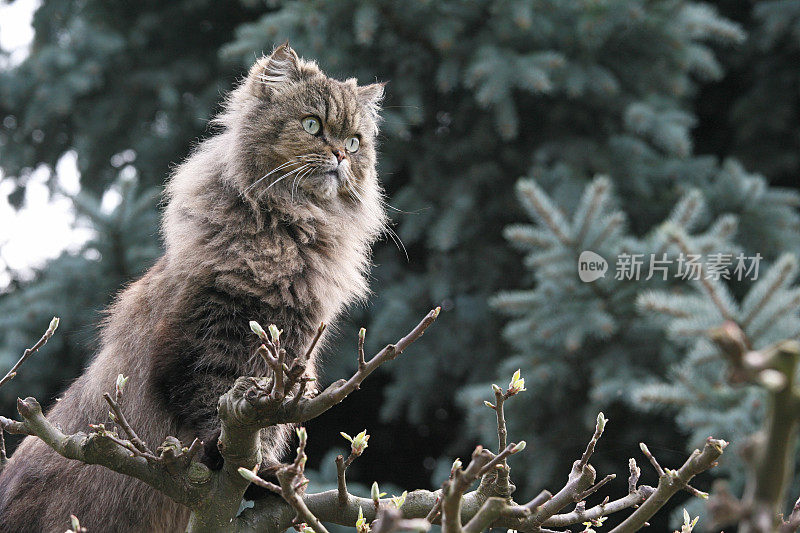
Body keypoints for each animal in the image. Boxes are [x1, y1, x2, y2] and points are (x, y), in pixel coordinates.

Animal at [0, 42, 388, 532]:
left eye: (355, 142)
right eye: (312, 125)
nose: (339, 155)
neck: (286, 235)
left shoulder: (288, 354)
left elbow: (268, 425)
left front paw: (270, 477)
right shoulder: (204, 342)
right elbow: (211, 410)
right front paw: (252, 470)